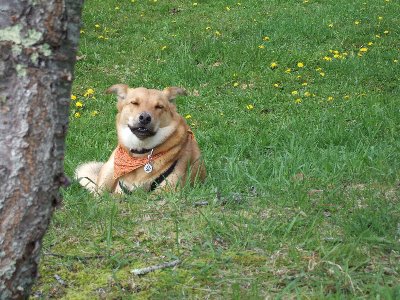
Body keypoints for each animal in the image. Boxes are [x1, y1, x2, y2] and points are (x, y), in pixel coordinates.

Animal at [75, 84, 206, 195]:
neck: (140, 152)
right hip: (109, 171)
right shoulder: (120, 193)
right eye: (134, 103)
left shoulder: (167, 192)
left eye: (159, 106)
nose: (145, 117)